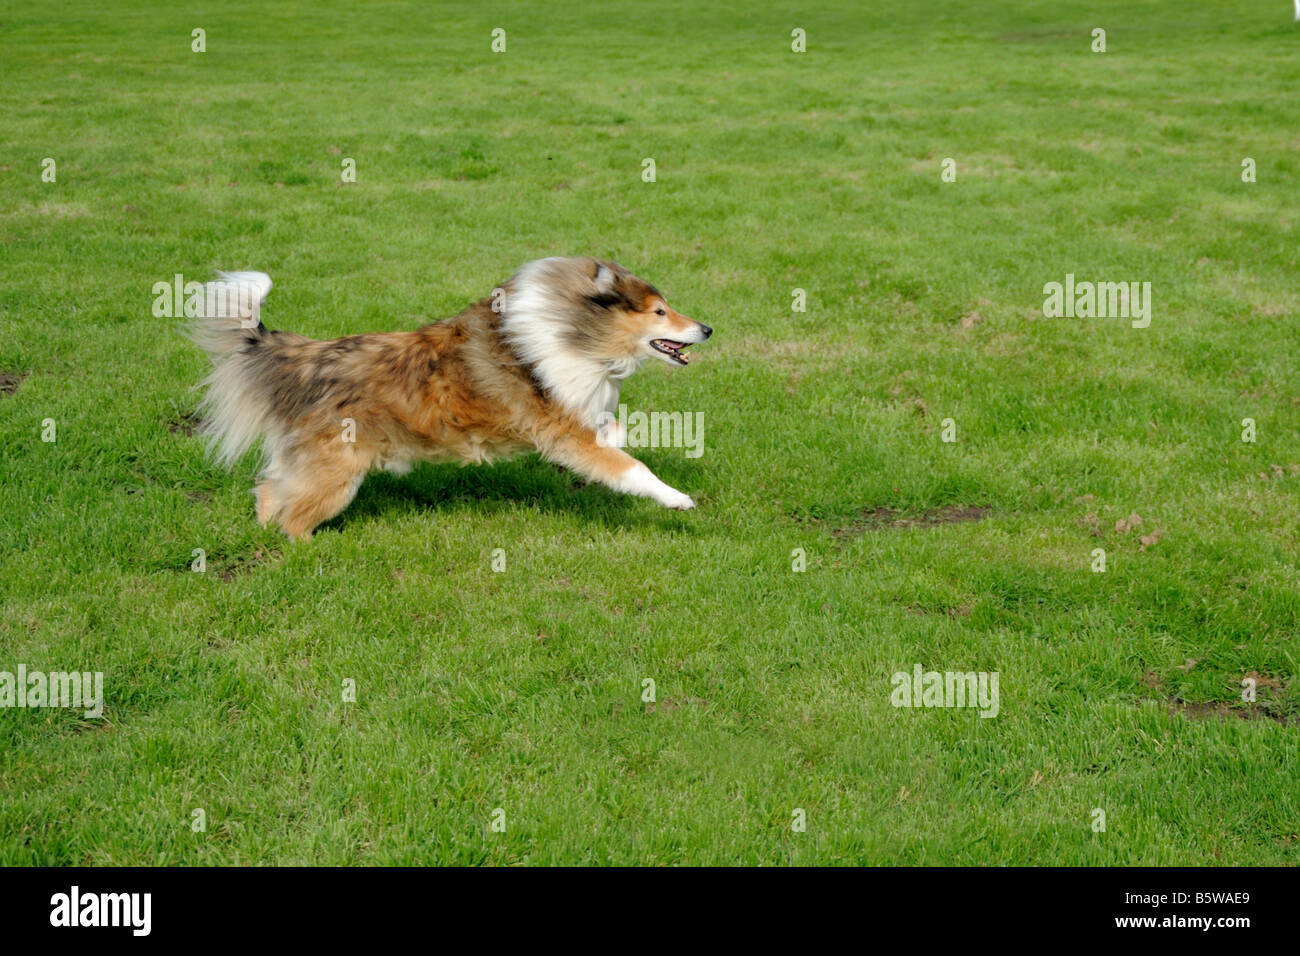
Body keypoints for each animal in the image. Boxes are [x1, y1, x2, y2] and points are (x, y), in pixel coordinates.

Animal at [187, 257, 712, 541]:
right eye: (660, 312)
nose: (707, 328)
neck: (577, 331)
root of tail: (308, 357)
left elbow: (618, 432)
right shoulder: (567, 435)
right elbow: (632, 469)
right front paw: (679, 500)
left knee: (269, 489)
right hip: (336, 473)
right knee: (293, 515)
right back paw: (309, 550)